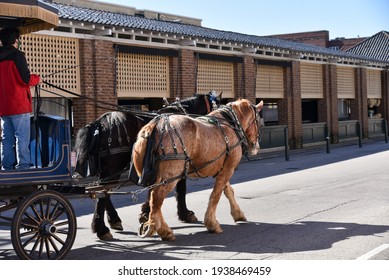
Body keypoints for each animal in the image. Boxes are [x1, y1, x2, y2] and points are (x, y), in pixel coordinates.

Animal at [72, 91, 218, 238]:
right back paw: (102, 229)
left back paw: (113, 220)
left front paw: (145, 212)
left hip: (107, 170)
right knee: (103, 193)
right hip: (113, 168)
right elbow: (181, 189)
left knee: (102, 192)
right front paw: (185, 214)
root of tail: (100, 123)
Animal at [132, 99, 262, 241]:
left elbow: (228, 191)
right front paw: (212, 223)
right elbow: (216, 195)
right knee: (156, 199)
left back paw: (151, 224)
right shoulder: (228, 169)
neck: (230, 124)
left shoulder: (222, 168)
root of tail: (155, 125)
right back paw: (162, 230)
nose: (256, 146)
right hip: (170, 176)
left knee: (151, 198)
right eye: (257, 121)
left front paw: (238, 214)